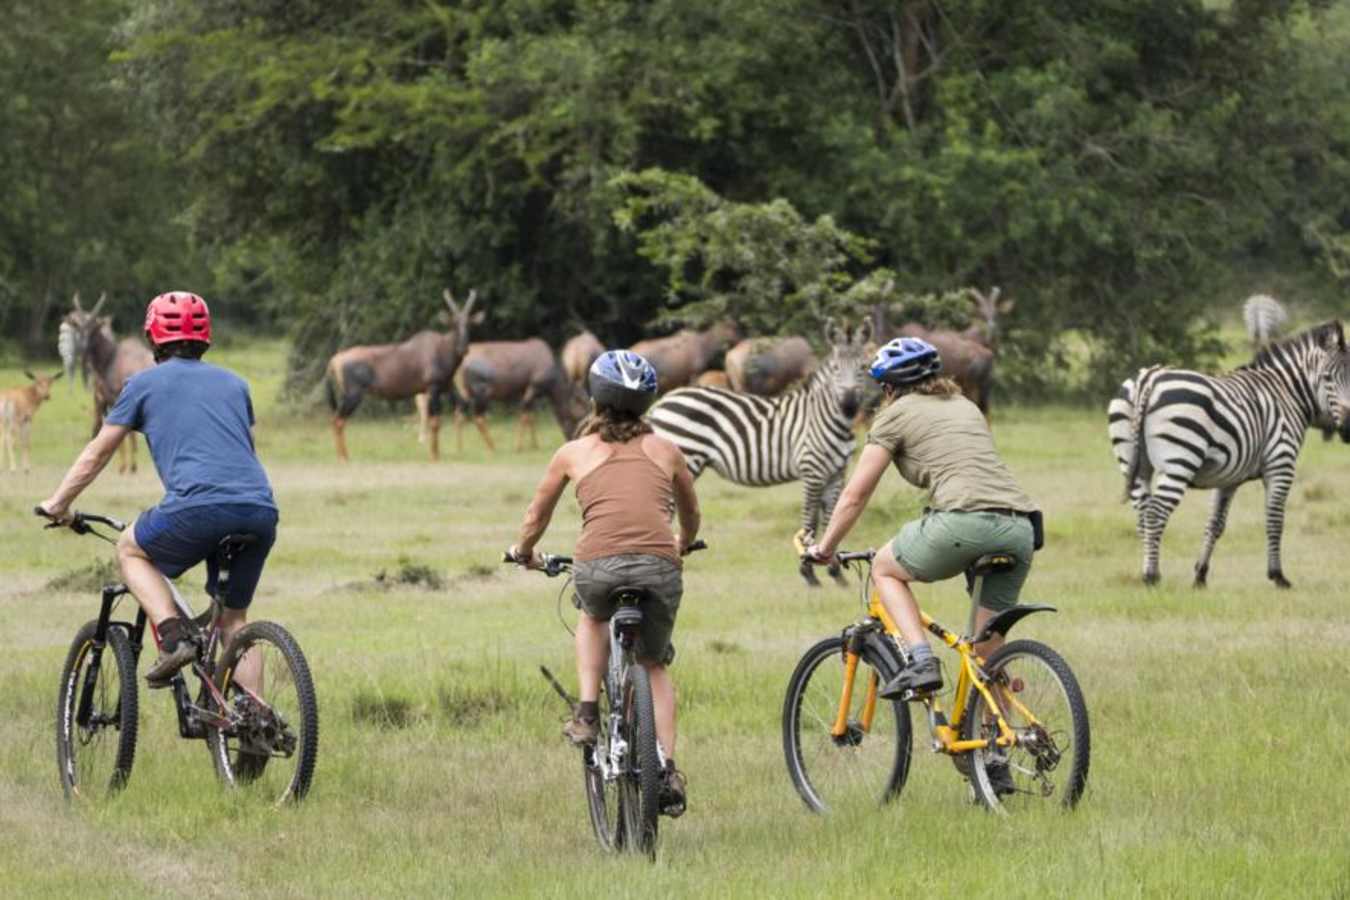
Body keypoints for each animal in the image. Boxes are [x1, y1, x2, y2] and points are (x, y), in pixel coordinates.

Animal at [648, 318, 872, 586]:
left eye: (863, 368)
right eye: (836, 369)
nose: (849, 406)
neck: (825, 417)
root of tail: (663, 402)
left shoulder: (836, 473)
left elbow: (831, 519)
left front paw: (836, 573)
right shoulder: (813, 470)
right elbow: (810, 521)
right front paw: (808, 572)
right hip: (684, 458)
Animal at [1106, 321, 1350, 589]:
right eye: (1326, 378)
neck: (1288, 395)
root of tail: (1148, 379)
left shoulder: (1228, 478)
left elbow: (1215, 524)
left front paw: (1200, 576)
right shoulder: (1280, 464)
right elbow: (1275, 520)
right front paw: (1278, 576)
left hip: (1134, 463)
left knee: (1142, 514)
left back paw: (1148, 571)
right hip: (1179, 461)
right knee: (1155, 514)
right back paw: (1152, 576)